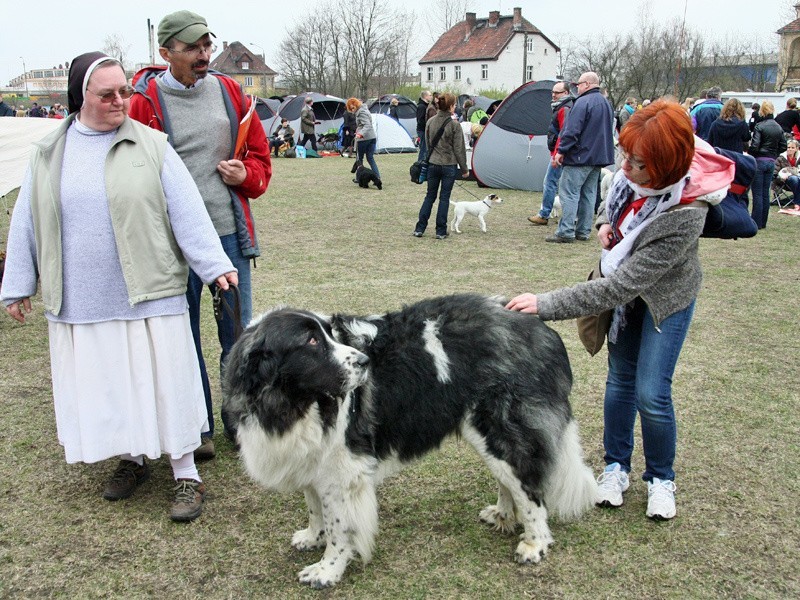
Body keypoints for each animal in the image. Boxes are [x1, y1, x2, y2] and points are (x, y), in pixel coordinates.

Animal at [222, 292, 596, 588]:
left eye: (328, 335)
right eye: (311, 342)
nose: (364, 361)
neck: (292, 402)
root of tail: (538, 326)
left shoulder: (343, 470)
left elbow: (339, 525)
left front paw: (327, 570)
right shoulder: (312, 459)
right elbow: (315, 508)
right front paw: (312, 537)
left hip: (500, 427)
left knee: (529, 488)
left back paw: (535, 543)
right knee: (510, 480)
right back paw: (504, 514)